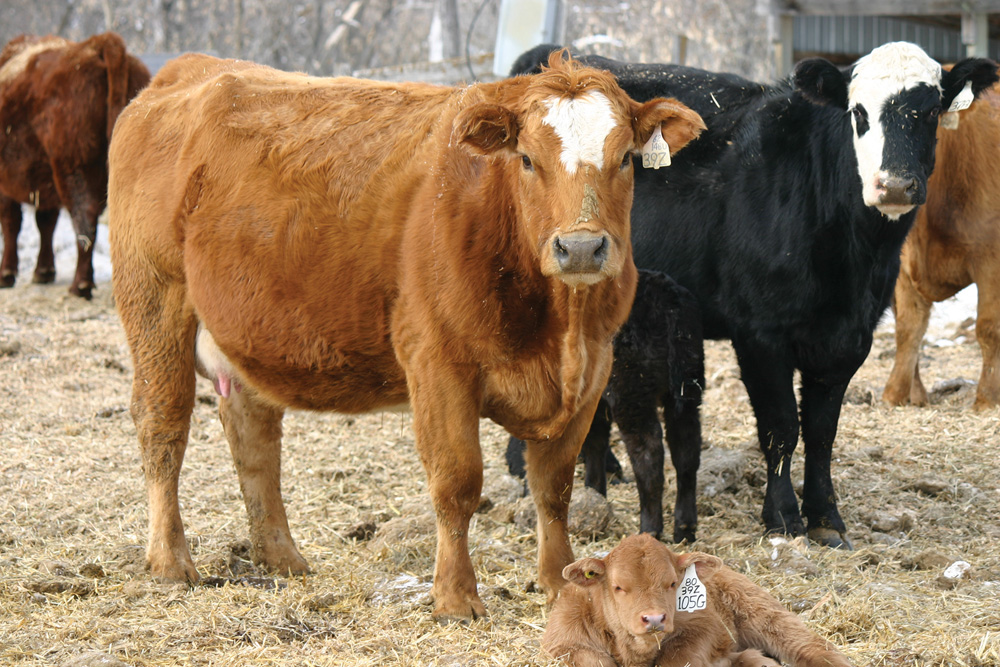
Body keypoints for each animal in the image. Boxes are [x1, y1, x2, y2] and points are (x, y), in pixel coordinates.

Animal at [0, 32, 149, 298]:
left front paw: (6, 273)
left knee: (85, 221)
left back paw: (80, 284)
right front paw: (44, 271)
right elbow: (45, 222)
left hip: (74, 170)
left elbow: (11, 223)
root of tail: (96, 45)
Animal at [506, 269, 705, 541]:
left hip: (632, 390)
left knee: (649, 454)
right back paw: (684, 529)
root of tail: (668, 298)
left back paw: (650, 529)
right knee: (686, 451)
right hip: (688, 385)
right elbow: (594, 443)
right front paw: (594, 493)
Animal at [543, 533, 853, 667]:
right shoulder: (565, 644)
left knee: (815, 649)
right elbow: (593, 660)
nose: (654, 618)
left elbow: (678, 658)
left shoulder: (705, 626)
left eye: (672, 583)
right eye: (618, 586)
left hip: (765, 614)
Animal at [883, 76, 1000, 411]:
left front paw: (987, 400)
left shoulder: (991, 259)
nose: (895, 185)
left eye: (933, 111)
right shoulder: (902, 263)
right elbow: (908, 328)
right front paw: (900, 395)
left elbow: (988, 328)